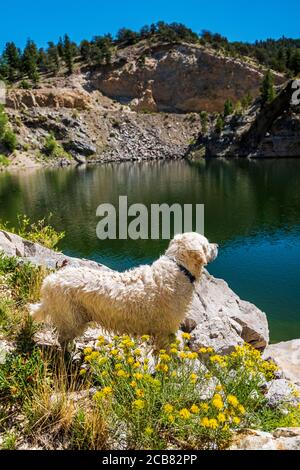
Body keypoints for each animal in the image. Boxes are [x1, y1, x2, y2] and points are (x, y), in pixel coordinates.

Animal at [30, 232, 218, 348]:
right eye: (207, 245)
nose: (216, 245)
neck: (179, 268)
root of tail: (50, 280)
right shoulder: (167, 330)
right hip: (72, 320)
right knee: (62, 339)